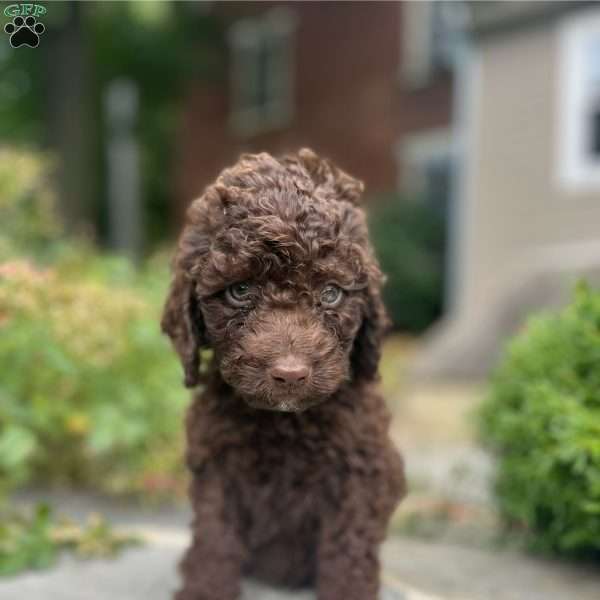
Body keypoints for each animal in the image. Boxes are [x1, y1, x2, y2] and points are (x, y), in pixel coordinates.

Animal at [162, 150, 406, 600]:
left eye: (331, 293)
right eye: (239, 291)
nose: (290, 374)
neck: (284, 422)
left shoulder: (361, 467)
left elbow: (348, 548)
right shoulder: (218, 464)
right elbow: (214, 537)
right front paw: (205, 587)